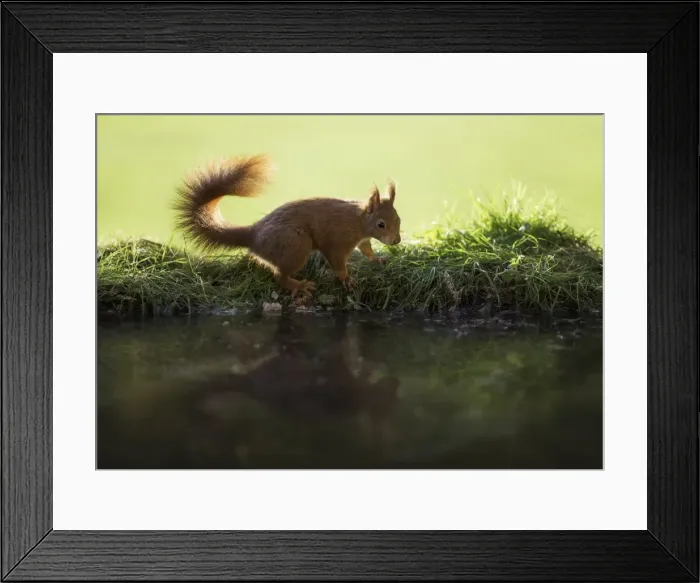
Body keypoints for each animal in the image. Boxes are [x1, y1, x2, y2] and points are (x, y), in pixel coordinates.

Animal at [173, 155, 402, 299]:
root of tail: (253, 234)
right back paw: (299, 285)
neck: (359, 222)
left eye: (398, 219)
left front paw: (378, 259)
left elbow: (367, 250)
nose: (397, 240)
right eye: (381, 224)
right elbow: (337, 262)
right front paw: (347, 280)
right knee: (279, 276)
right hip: (297, 245)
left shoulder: (363, 239)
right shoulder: (337, 242)